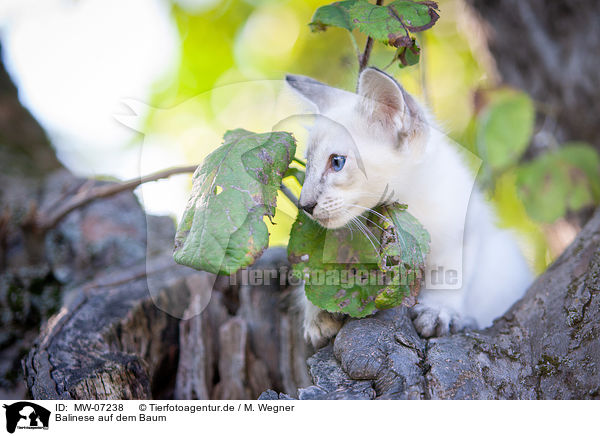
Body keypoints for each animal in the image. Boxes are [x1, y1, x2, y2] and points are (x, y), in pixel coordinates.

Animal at [286, 67, 536, 348]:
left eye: (337, 163)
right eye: (308, 165)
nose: (305, 205)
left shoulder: (466, 231)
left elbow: (449, 275)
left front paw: (438, 311)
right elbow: (318, 277)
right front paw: (319, 316)